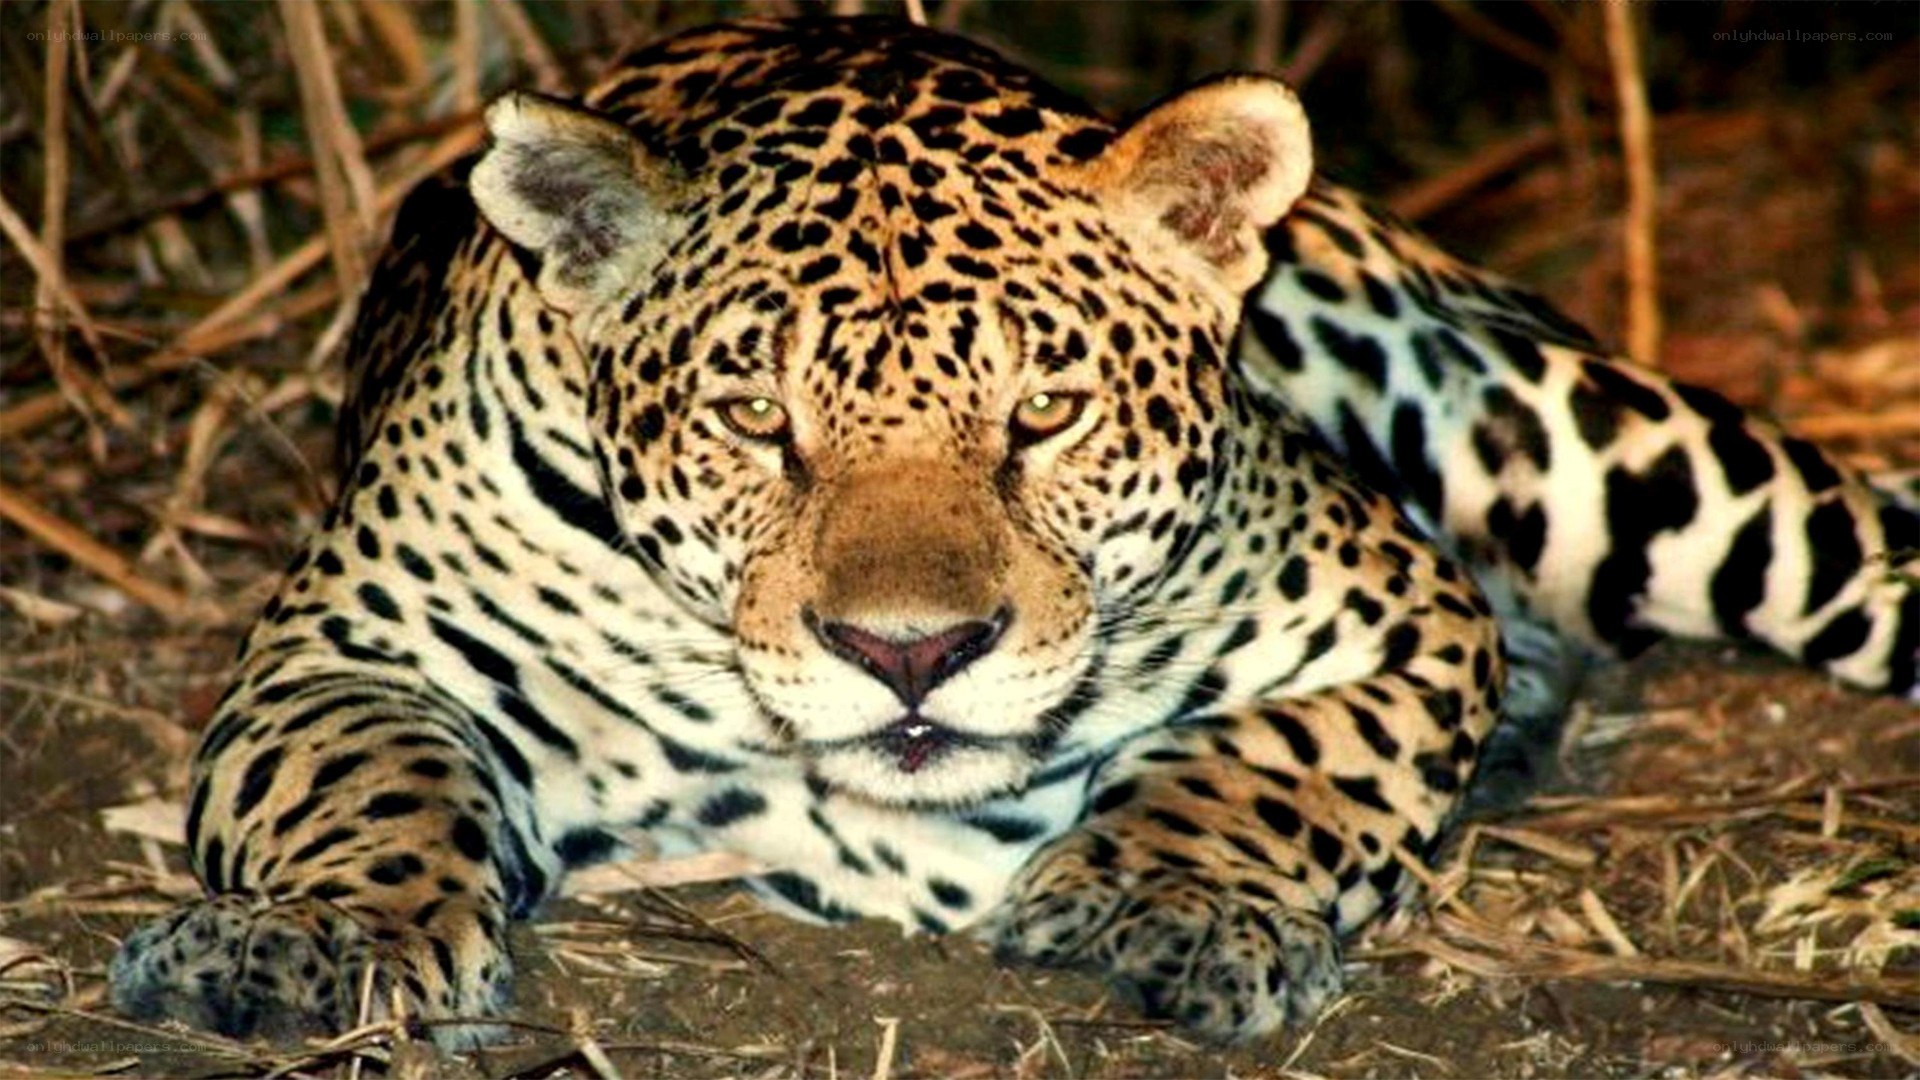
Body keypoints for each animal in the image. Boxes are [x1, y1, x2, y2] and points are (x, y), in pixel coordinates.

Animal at [110, 15, 1920, 1047]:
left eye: (1042, 415)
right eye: (755, 422)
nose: (908, 655)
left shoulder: (1393, 611)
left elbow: (1266, 767)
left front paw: (1159, 903)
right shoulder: (345, 658)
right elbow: (370, 789)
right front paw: (321, 943)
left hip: (1591, 442)